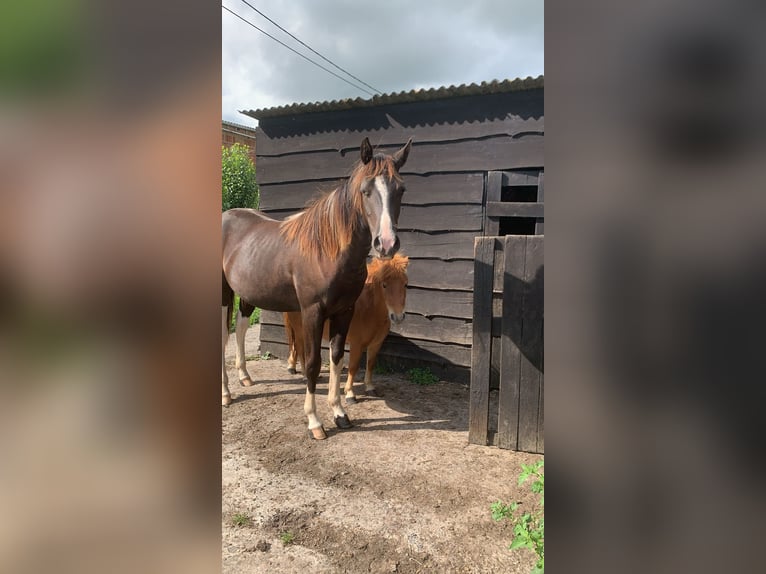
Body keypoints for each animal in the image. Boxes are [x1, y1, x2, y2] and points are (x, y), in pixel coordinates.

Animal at [222, 138, 414, 440]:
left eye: (401, 189)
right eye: (365, 190)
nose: (386, 243)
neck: (327, 250)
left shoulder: (344, 312)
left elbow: (337, 358)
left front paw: (339, 413)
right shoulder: (313, 312)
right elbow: (313, 363)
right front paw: (314, 421)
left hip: (248, 294)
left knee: (240, 328)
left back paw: (245, 377)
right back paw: (226, 394)